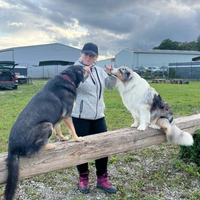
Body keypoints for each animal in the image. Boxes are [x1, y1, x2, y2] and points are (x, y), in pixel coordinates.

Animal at [4, 65, 89, 199]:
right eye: (84, 69)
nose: (91, 67)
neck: (68, 77)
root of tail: (12, 147)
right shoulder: (67, 114)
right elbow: (72, 129)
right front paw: (77, 138)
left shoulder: (59, 116)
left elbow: (58, 128)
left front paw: (62, 138)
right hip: (47, 125)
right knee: (31, 151)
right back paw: (48, 146)